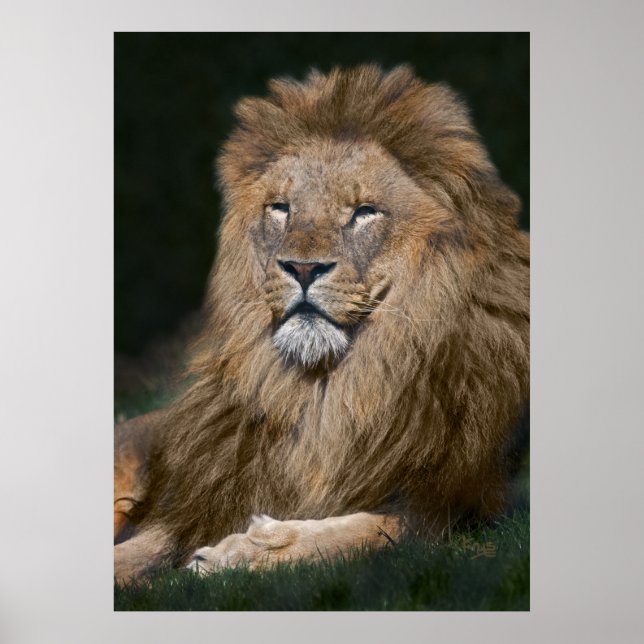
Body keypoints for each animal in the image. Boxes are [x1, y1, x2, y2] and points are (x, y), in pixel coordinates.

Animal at [114, 64, 529, 583]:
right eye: (281, 208)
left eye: (364, 211)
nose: (303, 268)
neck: (326, 392)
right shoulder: (194, 502)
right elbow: (145, 545)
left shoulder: (468, 508)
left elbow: (370, 531)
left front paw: (245, 552)